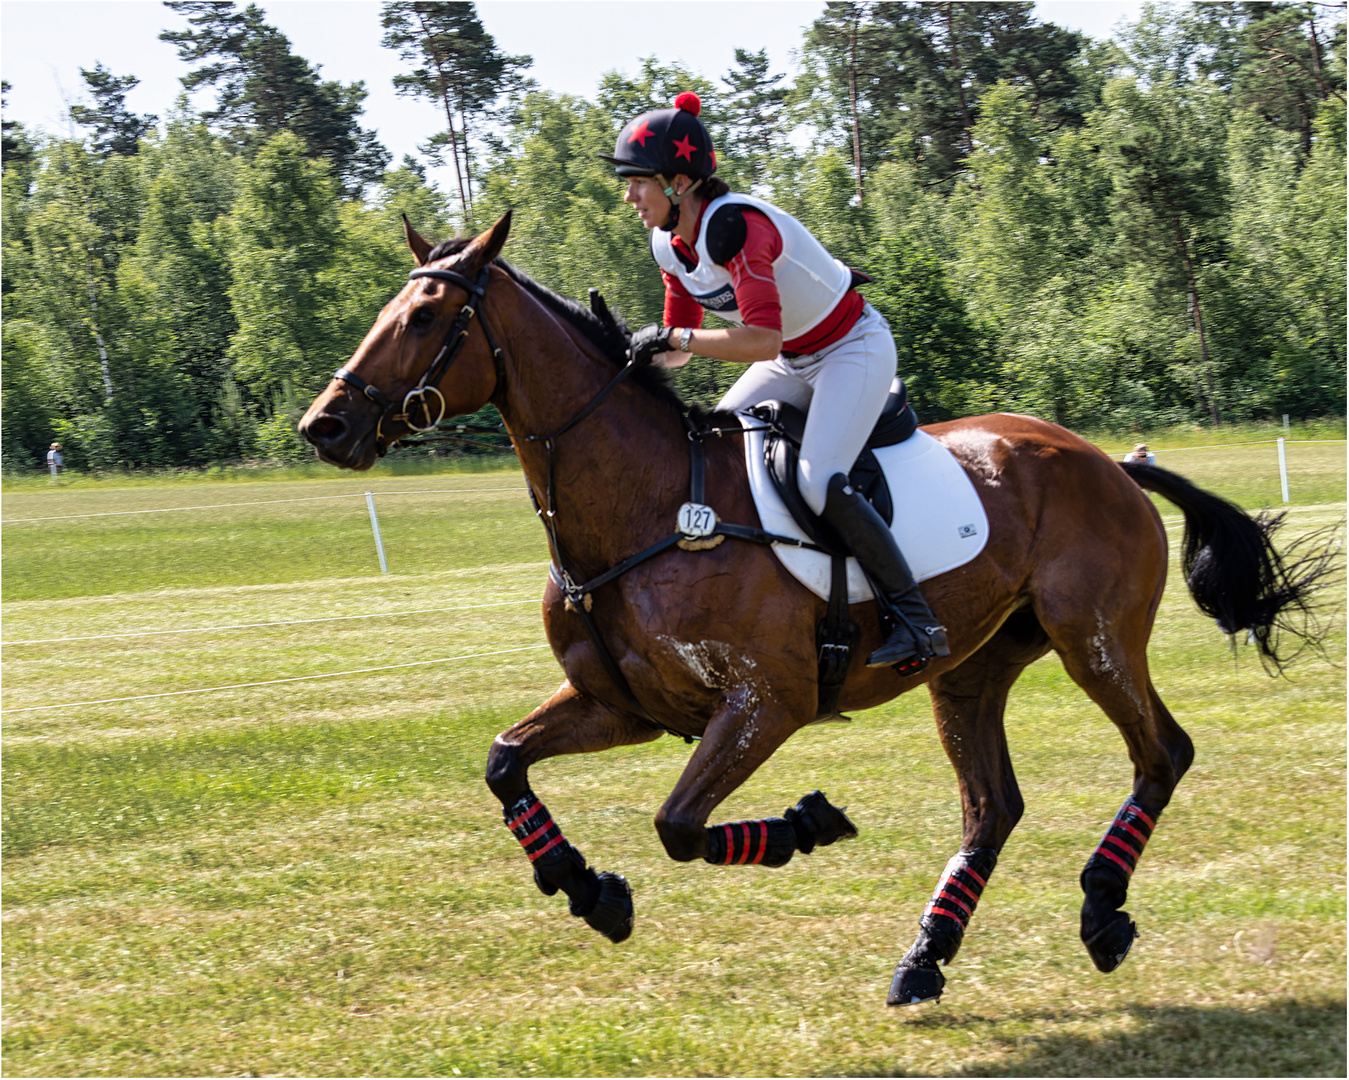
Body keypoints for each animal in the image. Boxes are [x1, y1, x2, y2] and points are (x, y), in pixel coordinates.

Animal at [298, 210, 1338, 1003]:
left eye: (427, 318)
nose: (325, 425)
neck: (640, 506)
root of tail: (1109, 461)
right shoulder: (622, 707)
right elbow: (505, 762)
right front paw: (587, 889)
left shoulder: (766, 703)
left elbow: (678, 826)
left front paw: (806, 823)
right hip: (971, 669)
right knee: (990, 807)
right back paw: (925, 959)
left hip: (1093, 639)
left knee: (1161, 753)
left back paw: (1099, 911)